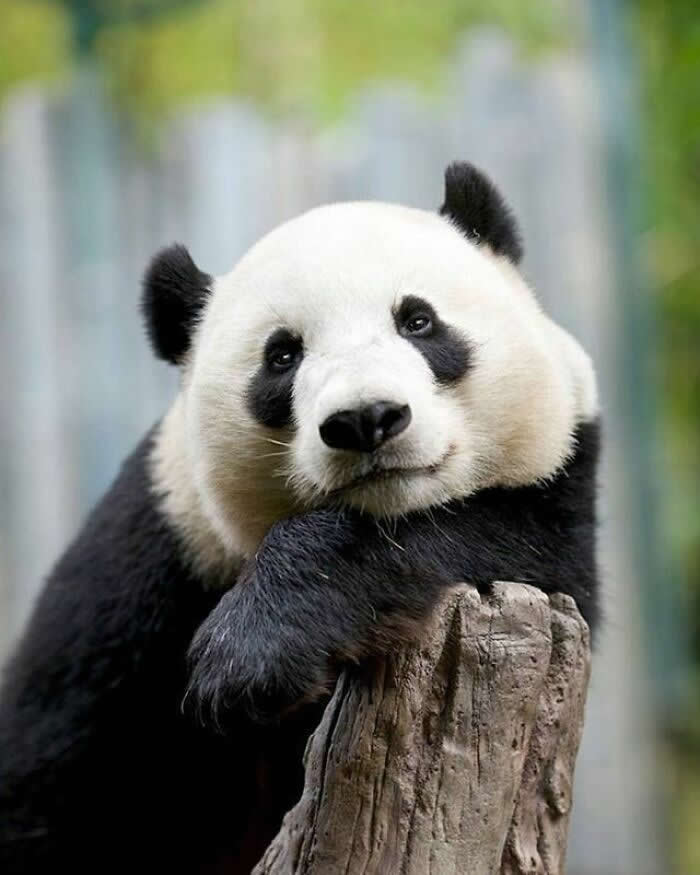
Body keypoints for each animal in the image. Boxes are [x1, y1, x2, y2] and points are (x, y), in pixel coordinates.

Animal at [0, 162, 599, 874]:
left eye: (418, 320)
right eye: (282, 355)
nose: (366, 419)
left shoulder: (563, 488)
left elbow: (505, 540)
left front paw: (253, 653)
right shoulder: (152, 555)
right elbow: (52, 771)